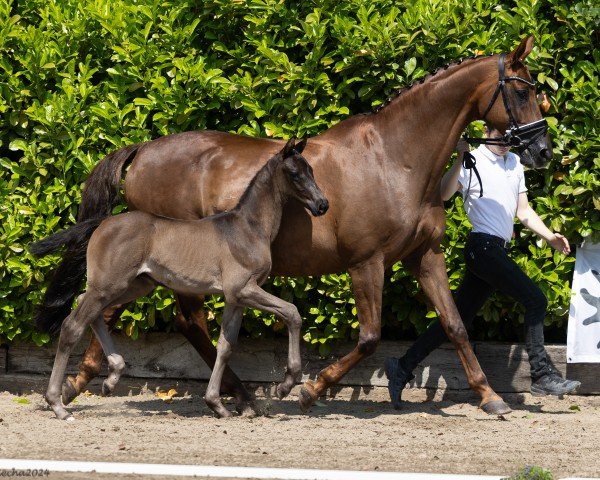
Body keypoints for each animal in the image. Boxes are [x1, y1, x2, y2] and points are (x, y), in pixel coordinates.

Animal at [31, 137, 328, 418]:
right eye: (294, 173)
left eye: (311, 170)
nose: (322, 204)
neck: (248, 228)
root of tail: (102, 223)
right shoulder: (243, 289)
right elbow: (292, 313)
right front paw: (286, 385)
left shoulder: (236, 299)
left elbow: (225, 346)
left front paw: (217, 404)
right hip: (110, 284)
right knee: (72, 325)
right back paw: (58, 404)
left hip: (134, 285)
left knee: (89, 306)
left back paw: (112, 376)